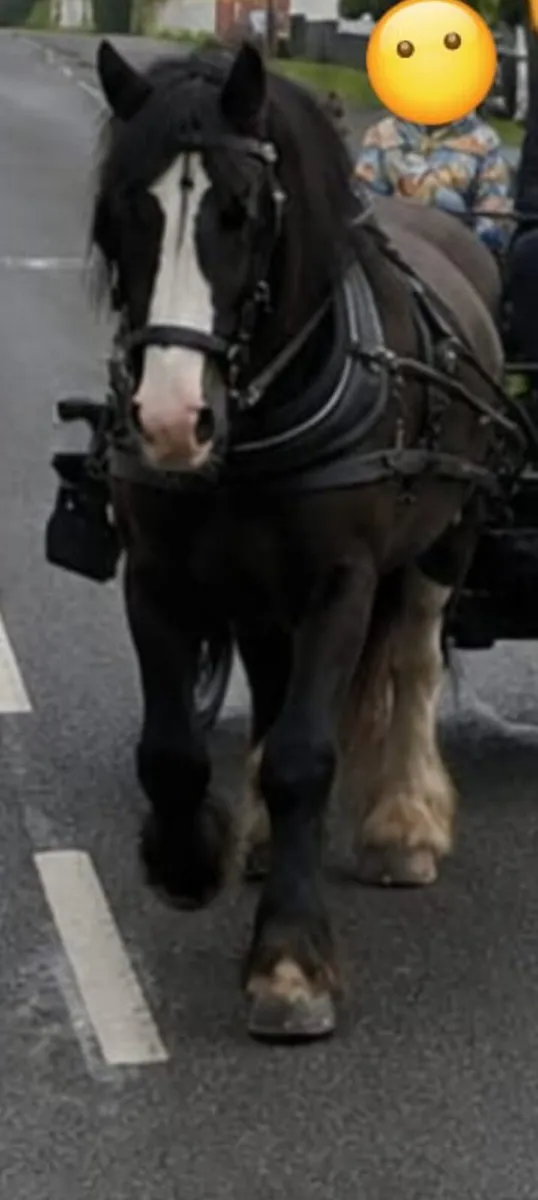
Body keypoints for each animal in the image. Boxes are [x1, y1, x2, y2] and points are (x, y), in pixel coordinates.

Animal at [88, 38, 524, 1041]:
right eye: (125, 211)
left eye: (242, 213)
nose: (169, 421)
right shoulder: (157, 574)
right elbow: (170, 749)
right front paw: (188, 860)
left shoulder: (343, 581)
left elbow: (304, 755)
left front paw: (289, 967)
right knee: (272, 679)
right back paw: (253, 836)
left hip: (446, 537)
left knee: (414, 662)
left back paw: (403, 824)